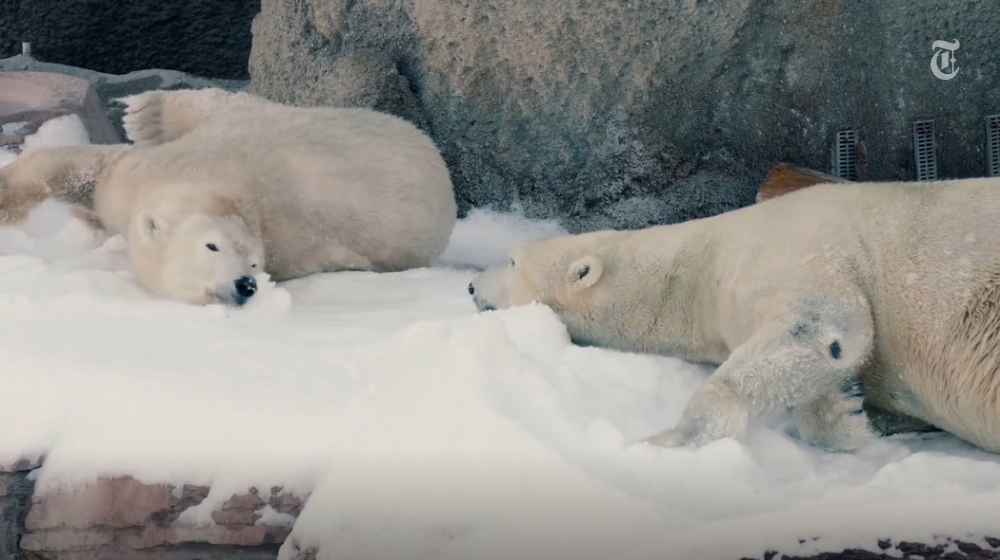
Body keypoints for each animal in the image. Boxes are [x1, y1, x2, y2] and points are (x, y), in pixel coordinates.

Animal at [0, 88, 457, 305]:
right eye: (211, 246)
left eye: (254, 263)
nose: (245, 285)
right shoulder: (151, 173)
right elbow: (82, 171)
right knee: (233, 104)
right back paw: (150, 114)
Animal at [468, 176, 1000, 454]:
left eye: (511, 259)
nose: (471, 285)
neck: (705, 265)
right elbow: (825, 377)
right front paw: (855, 417)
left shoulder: (804, 247)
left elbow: (824, 327)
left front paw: (668, 440)